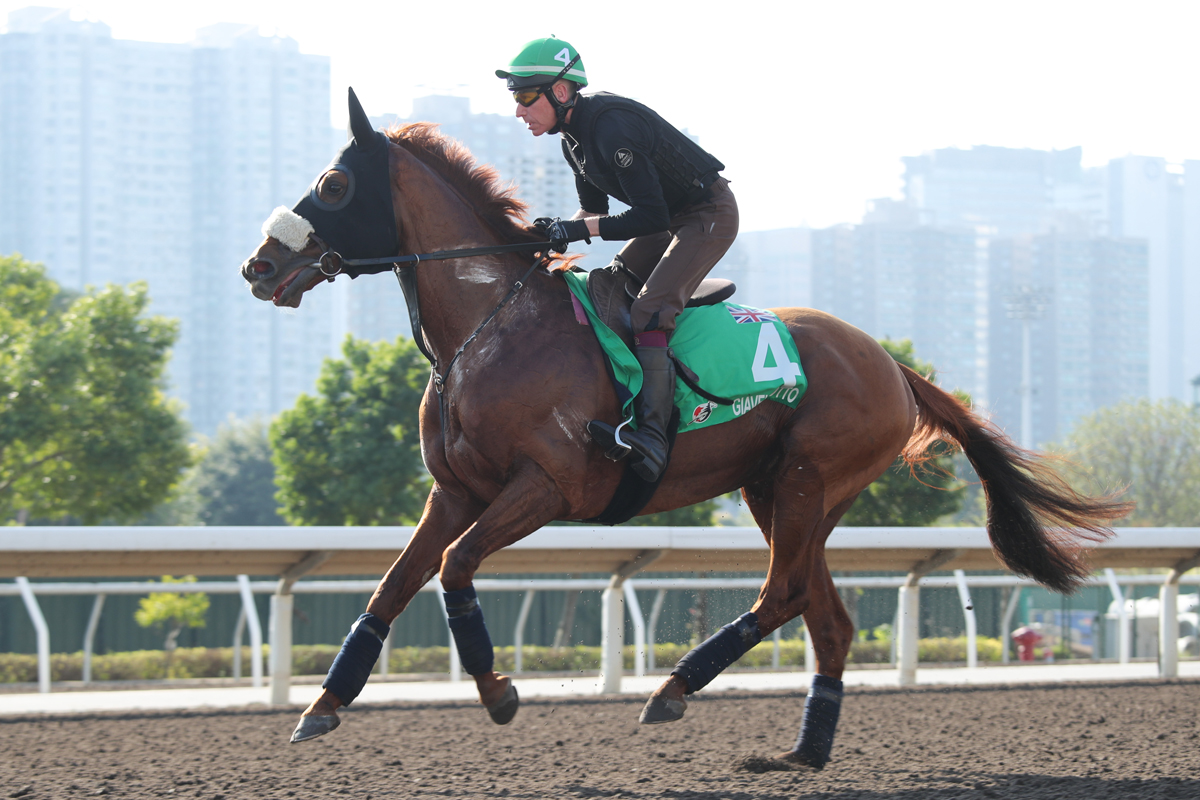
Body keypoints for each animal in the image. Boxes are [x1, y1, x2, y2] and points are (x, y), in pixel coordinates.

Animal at [241, 92, 1123, 767]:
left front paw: (498, 693)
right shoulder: (455, 492)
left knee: (782, 594)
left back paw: (672, 689)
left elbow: (455, 570)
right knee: (825, 618)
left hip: (806, 477)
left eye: (334, 184)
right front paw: (321, 705)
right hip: (784, 492)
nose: (258, 267)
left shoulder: (549, 487)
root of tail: (893, 365)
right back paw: (803, 751)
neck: (491, 328)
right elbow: (391, 588)